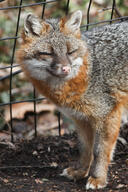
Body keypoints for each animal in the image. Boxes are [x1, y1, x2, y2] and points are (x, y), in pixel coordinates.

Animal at [17, 10, 128, 189]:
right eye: (48, 53)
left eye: (70, 51)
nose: (66, 68)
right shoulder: (81, 119)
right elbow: (85, 149)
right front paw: (80, 171)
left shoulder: (108, 114)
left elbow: (100, 151)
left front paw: (98, 178)